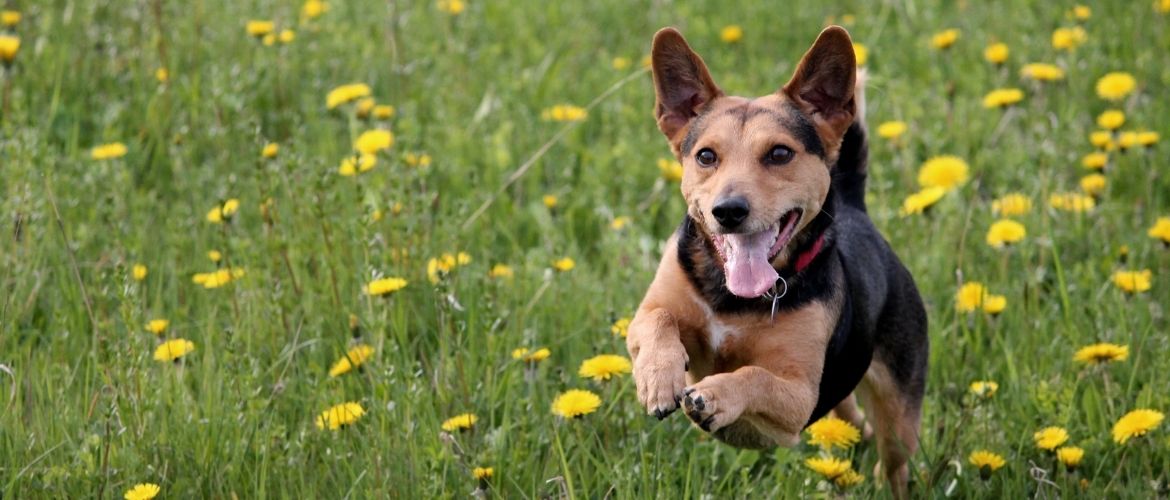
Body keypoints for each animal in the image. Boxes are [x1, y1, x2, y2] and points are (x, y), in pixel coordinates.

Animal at [627, 25, 926, 494]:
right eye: (706, 156)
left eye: (780, 154)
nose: (729, 211)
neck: (734, 298)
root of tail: (856, 210)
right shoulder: (649, 311)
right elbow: (658, 320)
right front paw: (658, 378)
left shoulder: (799, 397)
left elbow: (755, 376)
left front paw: (715, 396)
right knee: (850, 413)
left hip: (900, 413)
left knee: (893, 461)